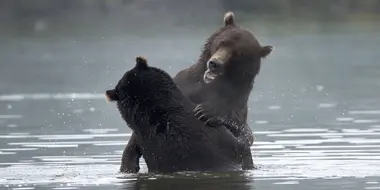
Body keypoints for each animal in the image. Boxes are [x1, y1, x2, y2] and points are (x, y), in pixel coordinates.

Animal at [119, 11, 274, 173]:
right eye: (222, 42)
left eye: (238, 53)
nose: (215, 63)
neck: (211, 84)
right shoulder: (185, 85)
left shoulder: (237, 101)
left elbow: (236, 122)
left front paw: (205, 111)